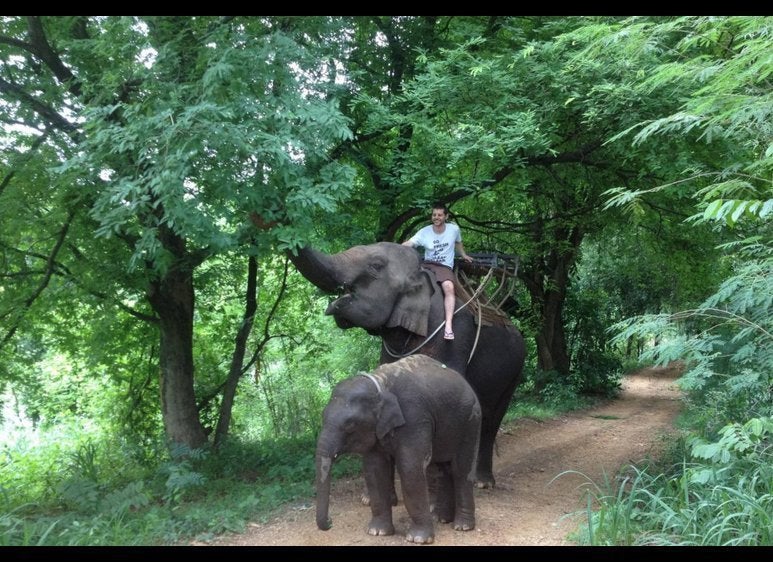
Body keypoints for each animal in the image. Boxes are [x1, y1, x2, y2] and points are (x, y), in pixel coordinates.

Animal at [314, 352, 476, 540]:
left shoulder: (414, 416)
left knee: (461, 470)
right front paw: (377, 532)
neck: (379, 383)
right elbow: (374, 470)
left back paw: (462, 526)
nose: (330, 522)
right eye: (322, 416)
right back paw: (441, 518)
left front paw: (418, 539)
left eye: (350, 424)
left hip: (470, 420)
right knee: (443, 469)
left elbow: (410, 468)